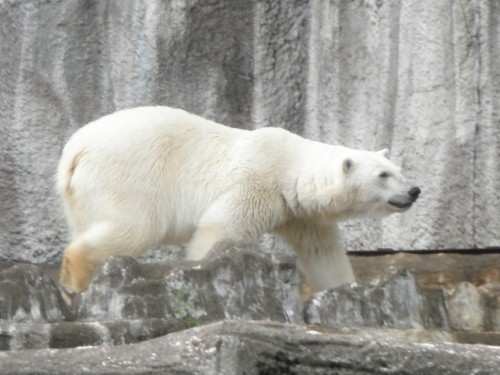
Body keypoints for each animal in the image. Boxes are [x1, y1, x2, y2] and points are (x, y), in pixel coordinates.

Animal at [56, 106, 420, 294]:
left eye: (398, 170)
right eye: (382, 175)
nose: (414, 191)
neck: (290, 169)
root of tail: (75, 151)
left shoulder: (299, 214)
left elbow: (322, 253)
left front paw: (343, 288)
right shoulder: (257, 184)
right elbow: (219, 229)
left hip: (81, 193)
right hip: (128, 175)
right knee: (134, 226)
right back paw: (78, 277)